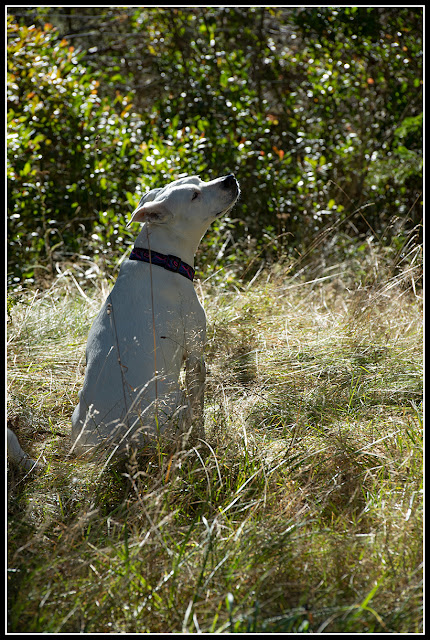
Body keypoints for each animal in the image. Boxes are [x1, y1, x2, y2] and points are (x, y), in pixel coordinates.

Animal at [70, 174, 239, 456]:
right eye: (194, 195)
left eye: (199, 179)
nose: (229, 178)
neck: (159, 258)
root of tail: (115, 444)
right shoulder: (195, 354)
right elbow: (200, 409)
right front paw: (203, 441)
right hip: (175, 400)